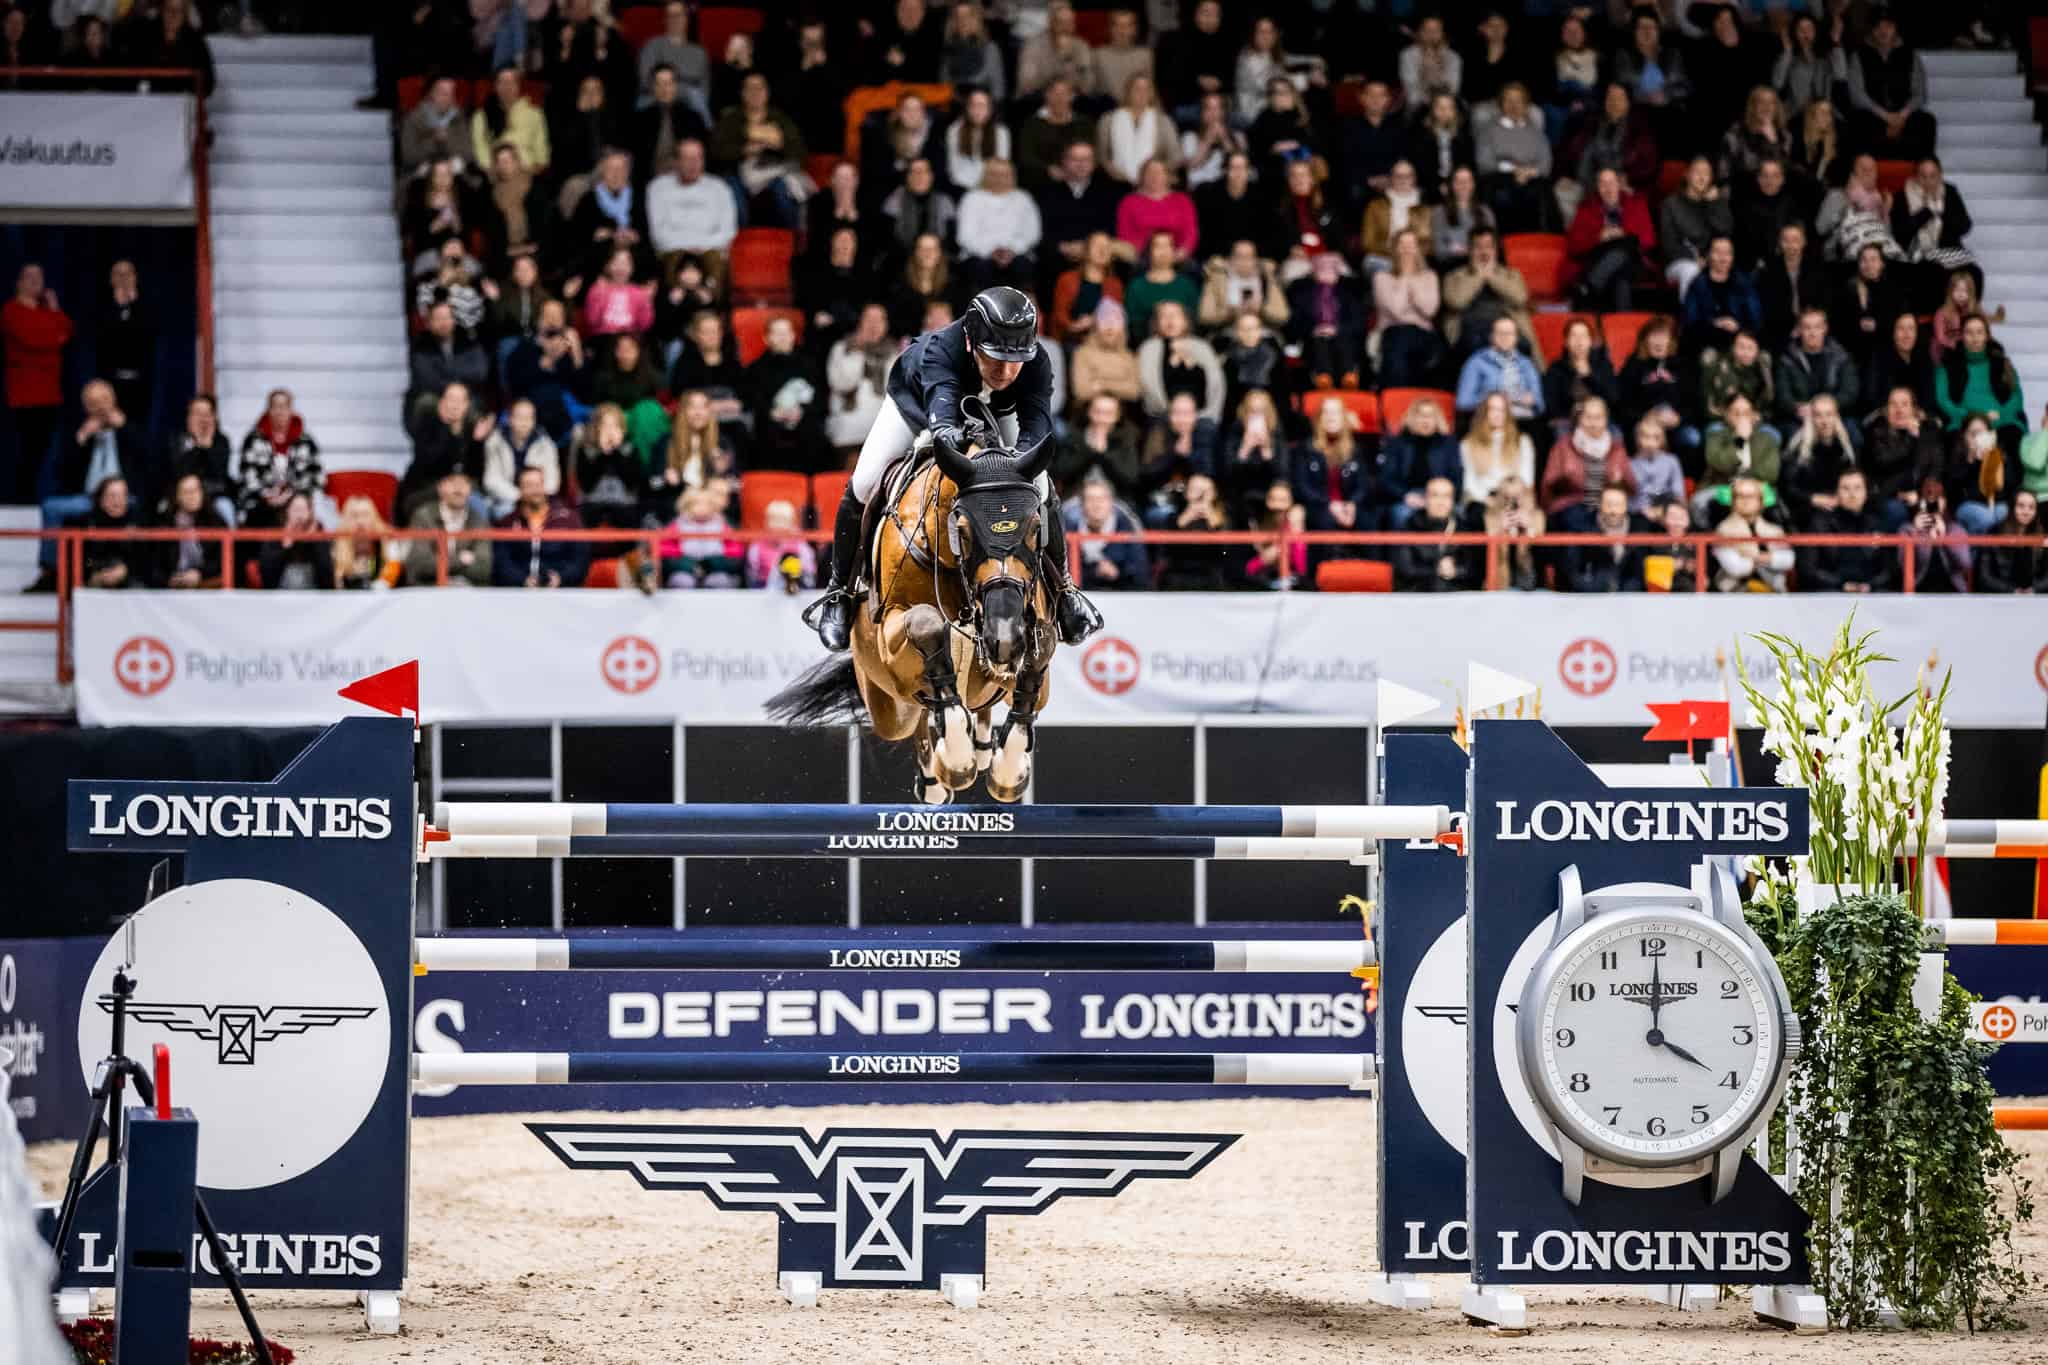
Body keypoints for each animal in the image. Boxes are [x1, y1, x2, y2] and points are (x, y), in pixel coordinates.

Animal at [769, 407, 1059, 804]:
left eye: (1034, 527)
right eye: (963, 530)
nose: (1003, 636)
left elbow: (1039, 647)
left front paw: (1008, 767)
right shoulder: (893, 635)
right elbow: (927, 626)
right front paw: (956, 756)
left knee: (975, 708)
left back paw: (983, 748)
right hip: (889, 706)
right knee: (919, 719)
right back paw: (937, 776)